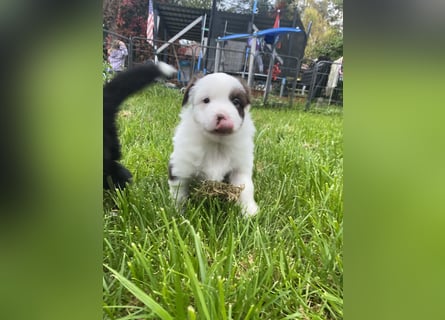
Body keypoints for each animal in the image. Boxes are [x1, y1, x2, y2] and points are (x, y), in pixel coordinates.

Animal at [166, 74, 258, 216]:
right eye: (206, 100)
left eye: (236, 101)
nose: (223, 116)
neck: (217, 144)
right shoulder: (180, 167)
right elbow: (179, 194)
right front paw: (178, 213)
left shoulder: (240, 168)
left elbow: (246, 188)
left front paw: (249, 212)